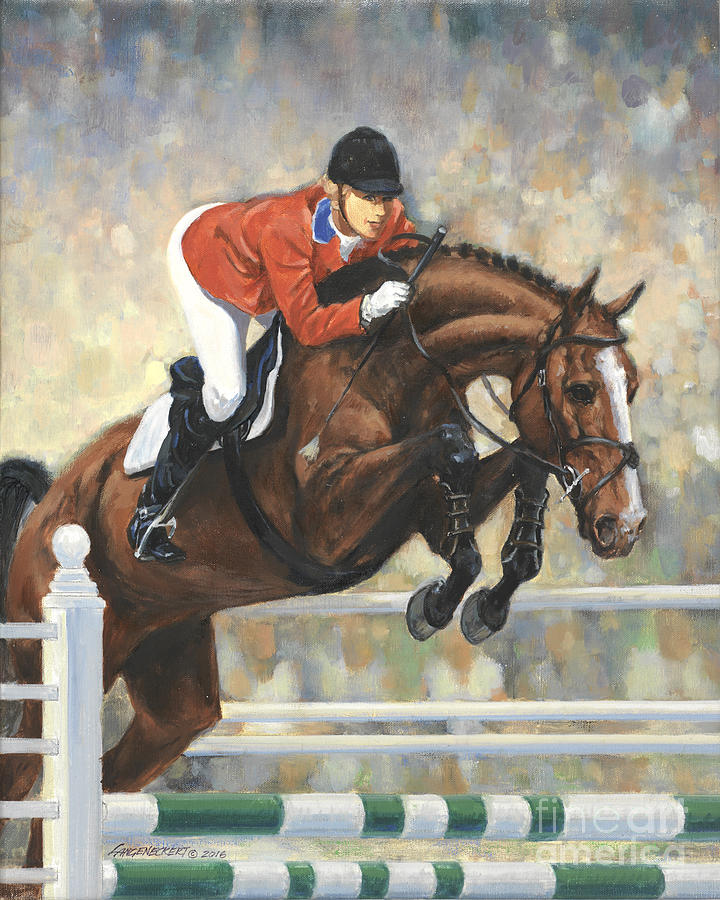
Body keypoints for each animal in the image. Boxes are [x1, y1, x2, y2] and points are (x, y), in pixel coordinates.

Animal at [0, 242, 646, 878]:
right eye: (582, 389)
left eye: (633, 386)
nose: (625, 526)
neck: (398, 369)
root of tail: (52, 502)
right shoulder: (325, 521)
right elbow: (455, 448)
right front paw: (437, 606)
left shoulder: (423, 509)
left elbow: (516, 462)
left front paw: (483, 605)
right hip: (60, 656)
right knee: (26, 772)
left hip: (169, 667)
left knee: (112, 771)